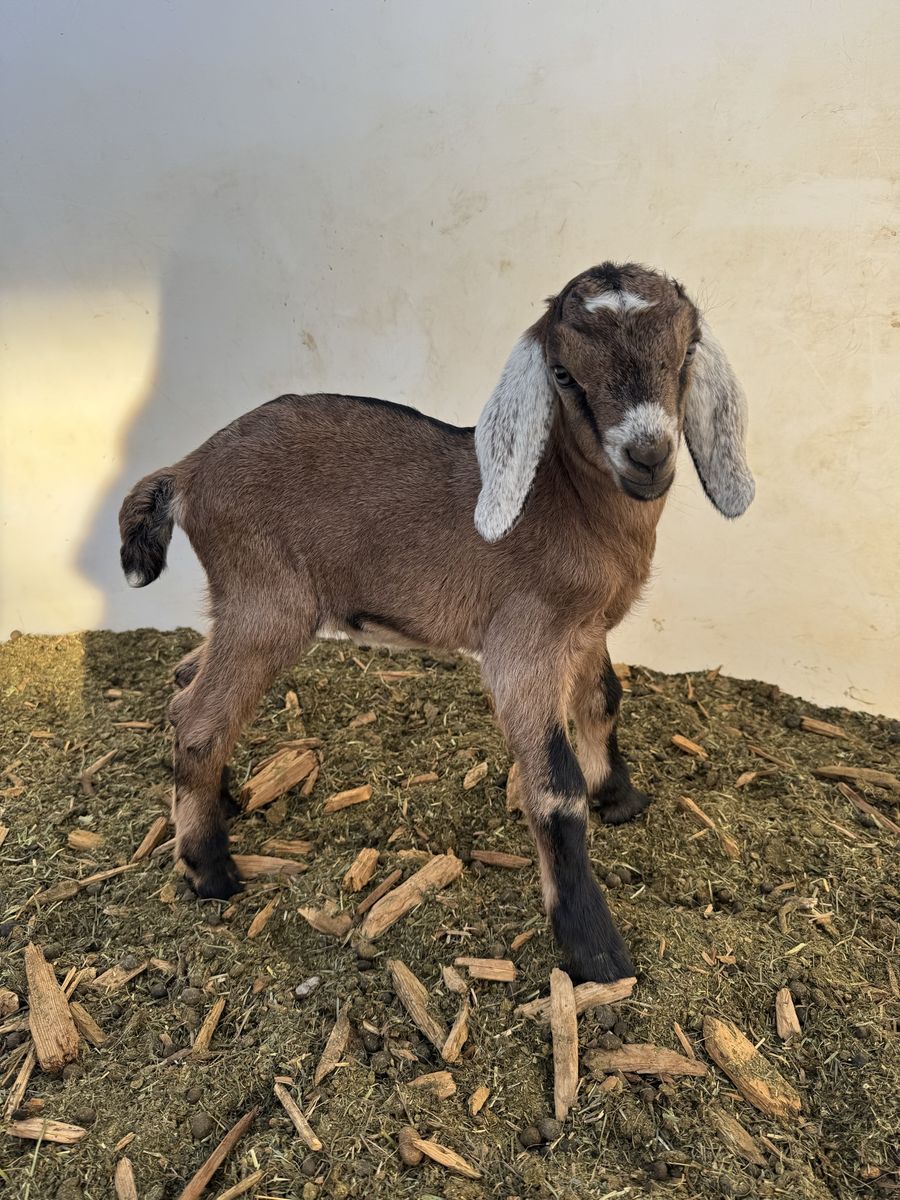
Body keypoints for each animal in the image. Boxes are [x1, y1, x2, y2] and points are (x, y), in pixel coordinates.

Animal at [119, 262, 753, 983]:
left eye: (687, 351)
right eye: (563, 374)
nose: (648, 456)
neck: (567, 501)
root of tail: (187, 469)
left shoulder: (587, 630)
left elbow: (603, 701)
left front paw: (619, 798)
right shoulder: (524, 641)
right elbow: (554, 787)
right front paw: (596, 952)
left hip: (240, 603)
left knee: (186, 682)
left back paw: (217, 802)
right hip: (268, 601)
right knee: (200, 718)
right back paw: (208, 869)